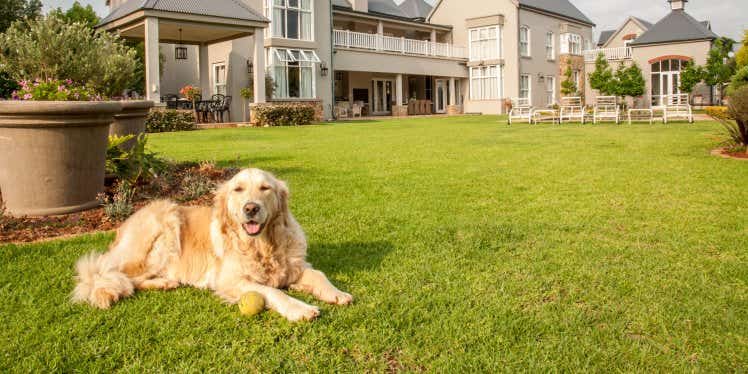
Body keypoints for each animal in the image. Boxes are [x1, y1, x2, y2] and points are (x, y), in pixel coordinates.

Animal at [71, 168, 352, 320]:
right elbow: (273, 291)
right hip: (165, 223)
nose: (251, 208)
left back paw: (163, 282)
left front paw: (336, 292)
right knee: (117, 276)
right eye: (238, 189)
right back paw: (160, 282)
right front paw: (299, 309)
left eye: (265, 188)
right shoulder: (230, 280)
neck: (261, 246)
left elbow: (319, 274)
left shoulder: (294, 266)